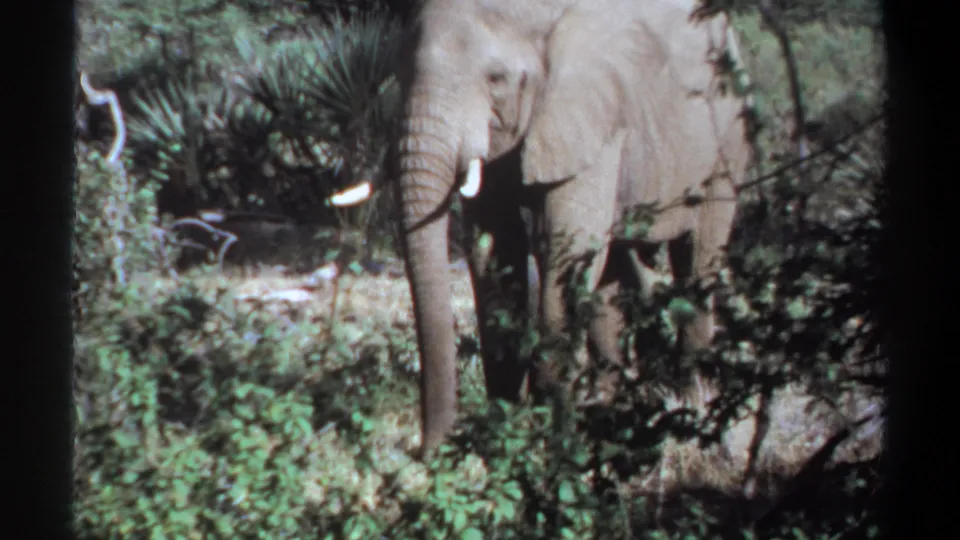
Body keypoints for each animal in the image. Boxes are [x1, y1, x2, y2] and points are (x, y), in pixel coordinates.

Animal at [330, 0, 754, 453]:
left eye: (496, 79)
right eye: (400, 73)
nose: (429, 452)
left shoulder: (592, 117)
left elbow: (565, 246)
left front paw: (544, 434)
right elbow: (496, 249)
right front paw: (501, 425)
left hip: (728, 135)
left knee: (697, 253)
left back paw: (691, 410)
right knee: (620, 264)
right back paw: (615, 404)